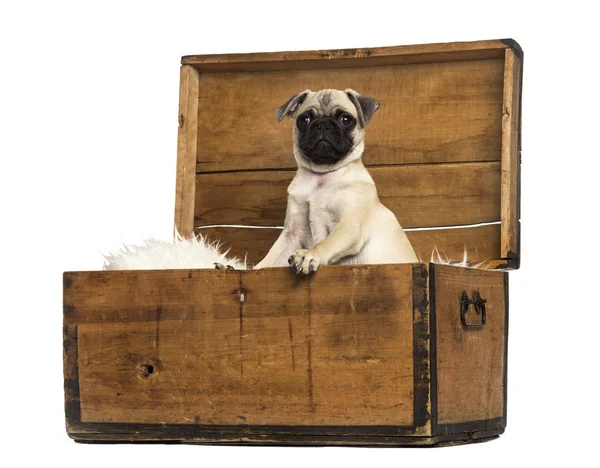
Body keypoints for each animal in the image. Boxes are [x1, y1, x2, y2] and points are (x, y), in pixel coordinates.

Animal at [253, 88, 418, 274]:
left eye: (345, 119)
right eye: (304, 120)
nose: (323, 124)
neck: (320, 177)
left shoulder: (347, 226)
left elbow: (326, 243)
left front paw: (309, 255)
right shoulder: (292, 233)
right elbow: (269, 259)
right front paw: (250, 269)